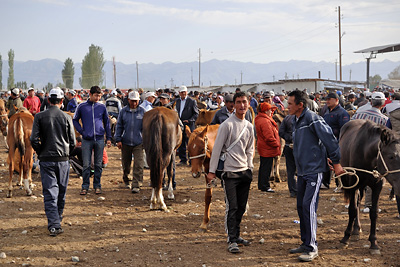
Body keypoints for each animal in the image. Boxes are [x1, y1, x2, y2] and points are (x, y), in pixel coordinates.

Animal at [338, 119, 400, 255]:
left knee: (358, 203)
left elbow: (374, 213)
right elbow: (352, 209)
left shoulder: (377, 187)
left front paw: (373, 243)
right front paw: (345, 237)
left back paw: (357, 228)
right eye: (391, 156)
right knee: (356, 205)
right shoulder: (353, 184)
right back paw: (354, 230)